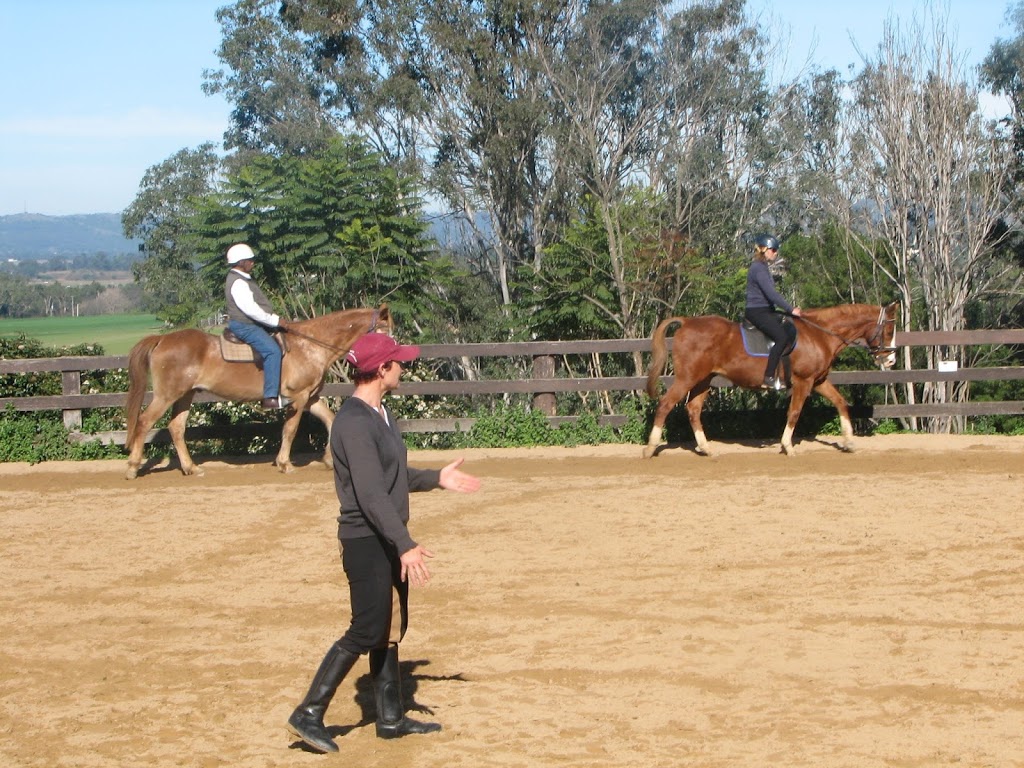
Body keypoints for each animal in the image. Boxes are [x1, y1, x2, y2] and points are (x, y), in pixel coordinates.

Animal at [120, 303, 391, 479]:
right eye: (385, 330)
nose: (392, 357)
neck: (310, 345)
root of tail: (162, 340)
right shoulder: (299, 397)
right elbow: (290, 430)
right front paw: (285, 463)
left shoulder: (310, 396)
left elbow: (331, 420)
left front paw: (328, 459)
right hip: (166, 395)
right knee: (144, 422)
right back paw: (133, 467)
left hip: (185, 395)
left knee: (176, 428)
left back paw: (191, 468)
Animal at [643, 301, 901, 456]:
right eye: (889, 330)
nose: (890, 361)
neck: (819, 334)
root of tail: (687, 322)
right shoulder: (803, 381)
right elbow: (794, 413)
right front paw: (788, 446)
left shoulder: (818, 381)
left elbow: (841, 403)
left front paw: (848, 442)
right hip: (687, 378)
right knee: (665, 405)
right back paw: (651, 447)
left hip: (703, 380)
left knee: (693, 409)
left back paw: (705, 448)